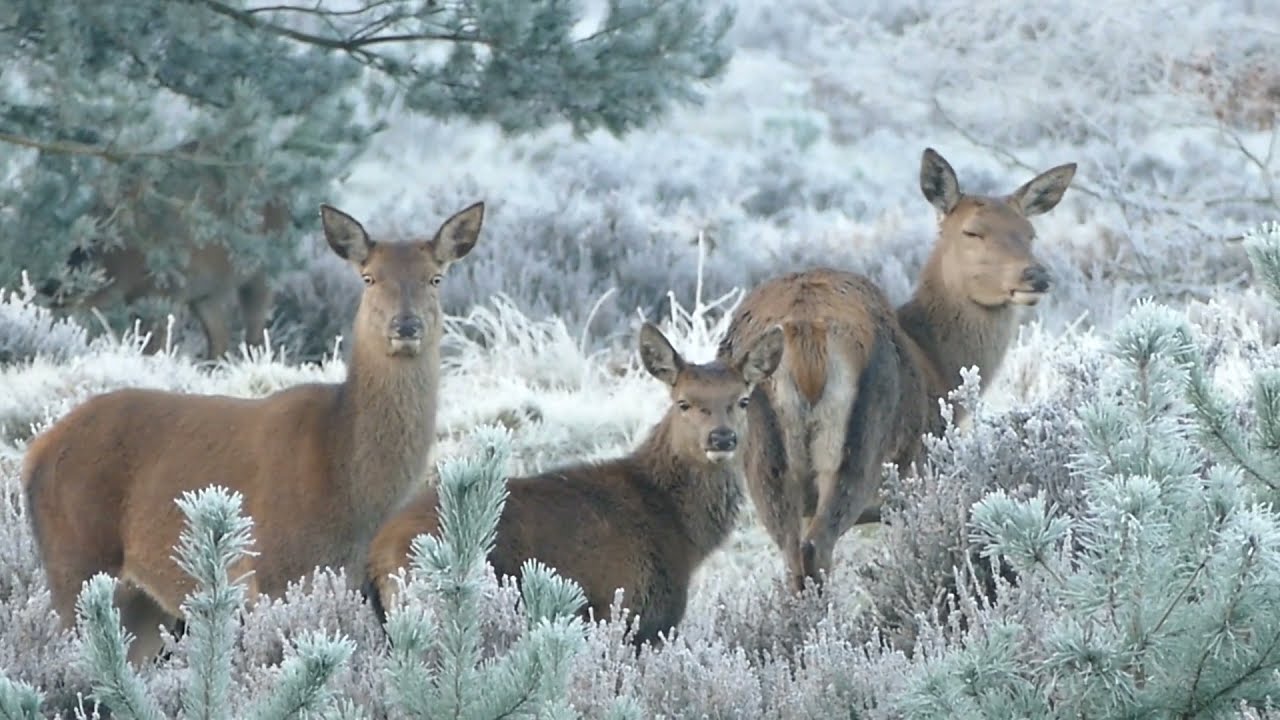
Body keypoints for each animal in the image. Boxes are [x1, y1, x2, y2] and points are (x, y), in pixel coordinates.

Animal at [22, 200, 486, 665]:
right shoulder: (268, 570)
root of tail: (35, 453)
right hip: (74, 557)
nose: (405, 326)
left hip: (140, 600)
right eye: (369, 277)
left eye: (435, 278)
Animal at [365, 322, 785, 646]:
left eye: (742, 400)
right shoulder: (628, 608)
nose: (722, 438)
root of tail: (376, 552)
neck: (681, 532)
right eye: (683, 402)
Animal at [717, 147, 1076, 593]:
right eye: (972, 232)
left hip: (764, 460)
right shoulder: (919, 474)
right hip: (863, 443)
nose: (1036, 275)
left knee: (791, 555)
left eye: (1029, 233)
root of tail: (806, 332)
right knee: (817, 547)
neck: (938, 364)